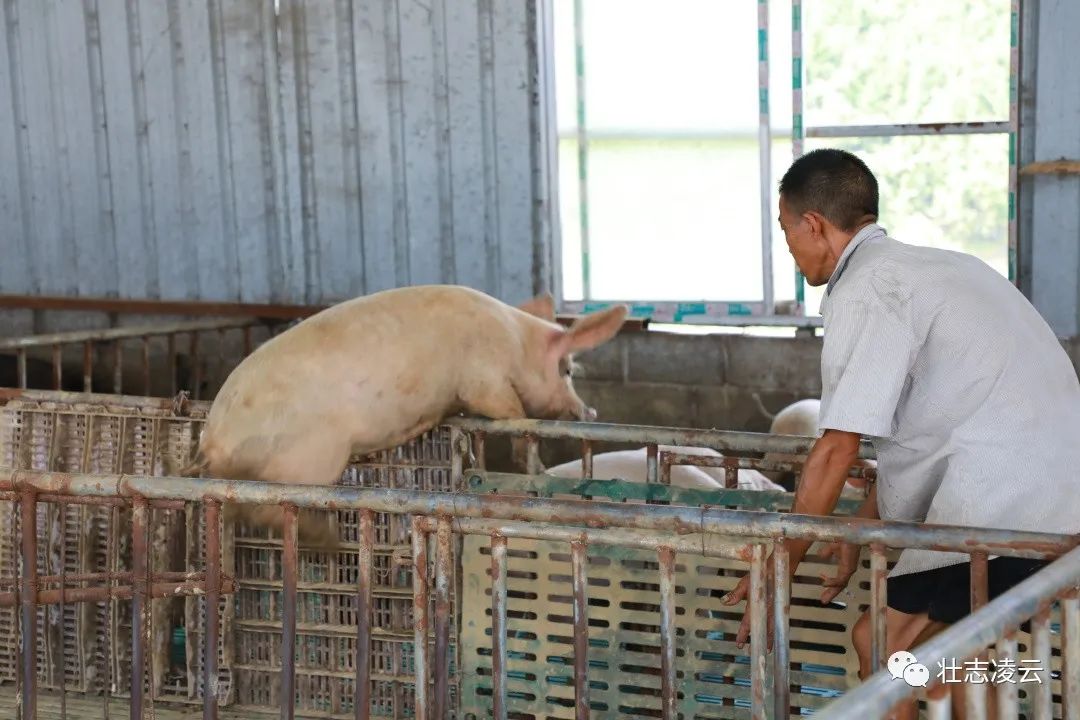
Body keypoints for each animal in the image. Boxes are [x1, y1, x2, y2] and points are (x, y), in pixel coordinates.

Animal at [181, 284, 630, 548]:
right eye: (567, 370)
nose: (589, 410)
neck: (518, 342)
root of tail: (212, 442)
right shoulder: (484, 378)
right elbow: (511, 412)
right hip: (307, 459)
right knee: (266, 506)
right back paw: (326, 541)